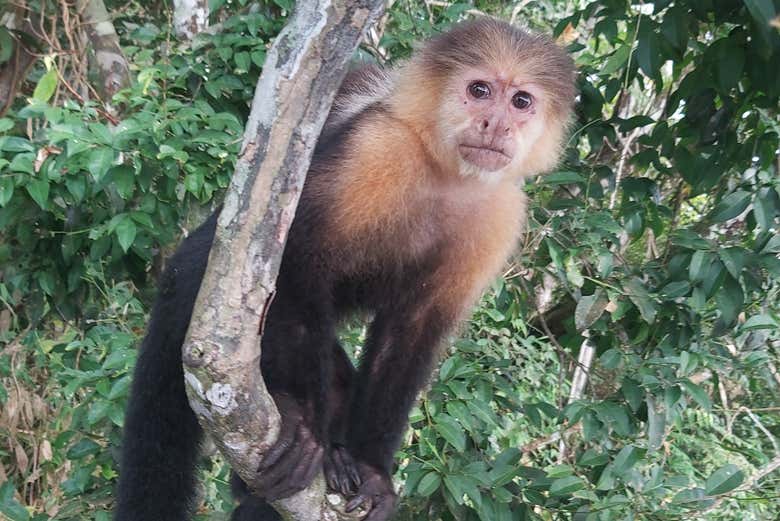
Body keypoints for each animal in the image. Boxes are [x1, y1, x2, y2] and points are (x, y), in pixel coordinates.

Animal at [115, 17, 575, 521]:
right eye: (479, 90)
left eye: (521, 101)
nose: (497, 124)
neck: (446, 174)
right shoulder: (374, 147)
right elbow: (290, 261)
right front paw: (301, 424)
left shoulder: (501, 214)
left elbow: (410, 332)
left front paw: (372, 470)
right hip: (197, 289)